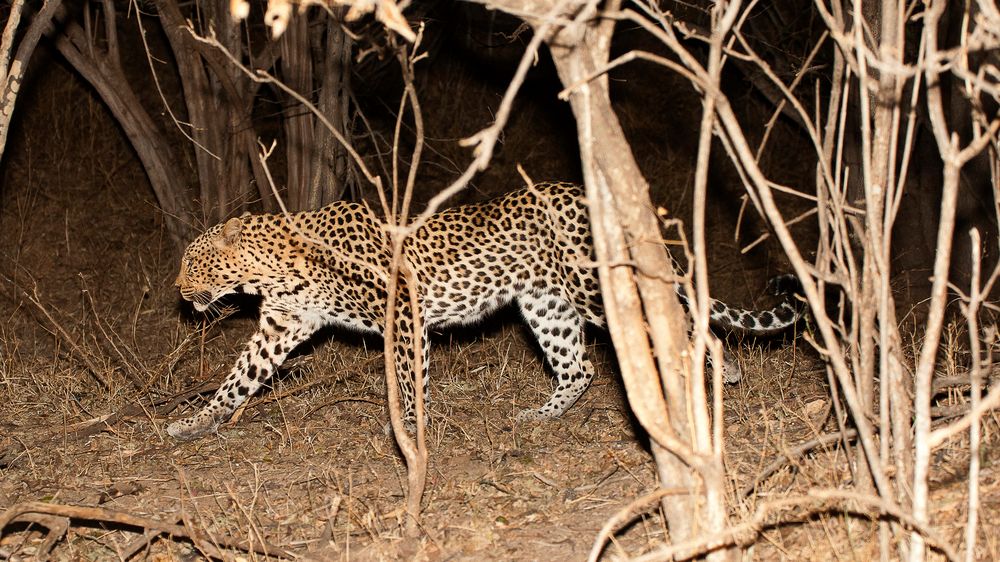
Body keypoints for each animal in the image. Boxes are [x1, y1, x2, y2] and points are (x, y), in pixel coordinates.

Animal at [166, 182, 804, 440]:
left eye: (193, 263)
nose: (176, 289)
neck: (273, 268)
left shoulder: (405, 315)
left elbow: (409, 378)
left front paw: (412, 434)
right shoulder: (281, 325)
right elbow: (237, 379)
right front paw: (194, 423)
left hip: (593, 288)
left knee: (681, 322)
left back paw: (721, 371)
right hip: (546, 303)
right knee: (579, 368)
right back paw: (539, 416)